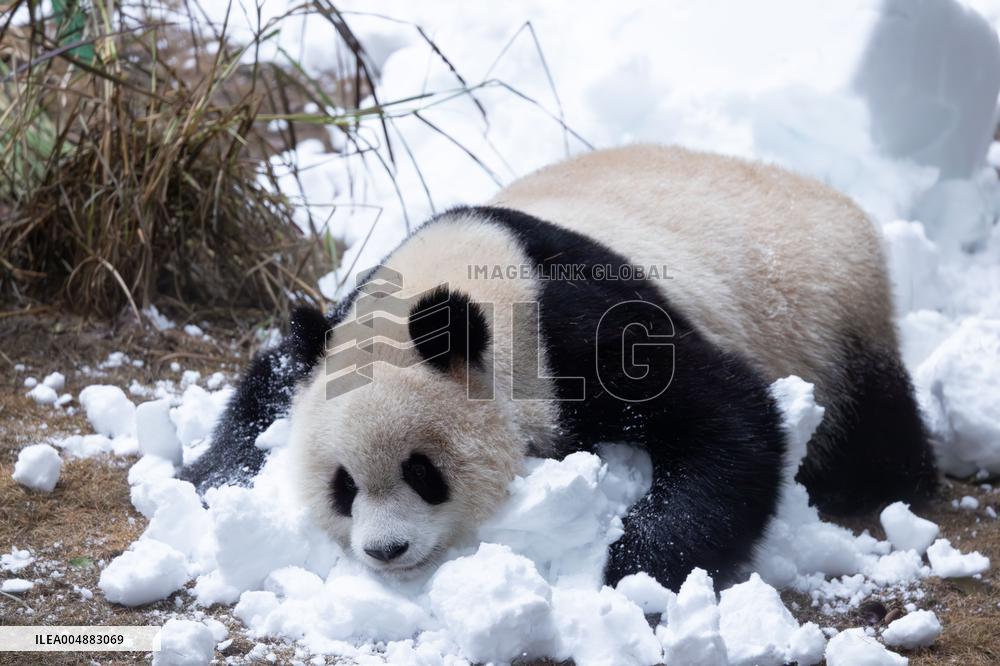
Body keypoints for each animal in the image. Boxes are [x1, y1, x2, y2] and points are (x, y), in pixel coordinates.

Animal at [182, 144, 938, 590]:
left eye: (422, 472)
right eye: (342, 486)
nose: (386, 550)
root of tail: (842, 205)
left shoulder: (575, 330)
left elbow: (728, 415)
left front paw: (628, 566)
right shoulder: (342, 320)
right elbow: (275, 375)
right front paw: (209, 478)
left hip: (831, 320)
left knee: (875, 430)